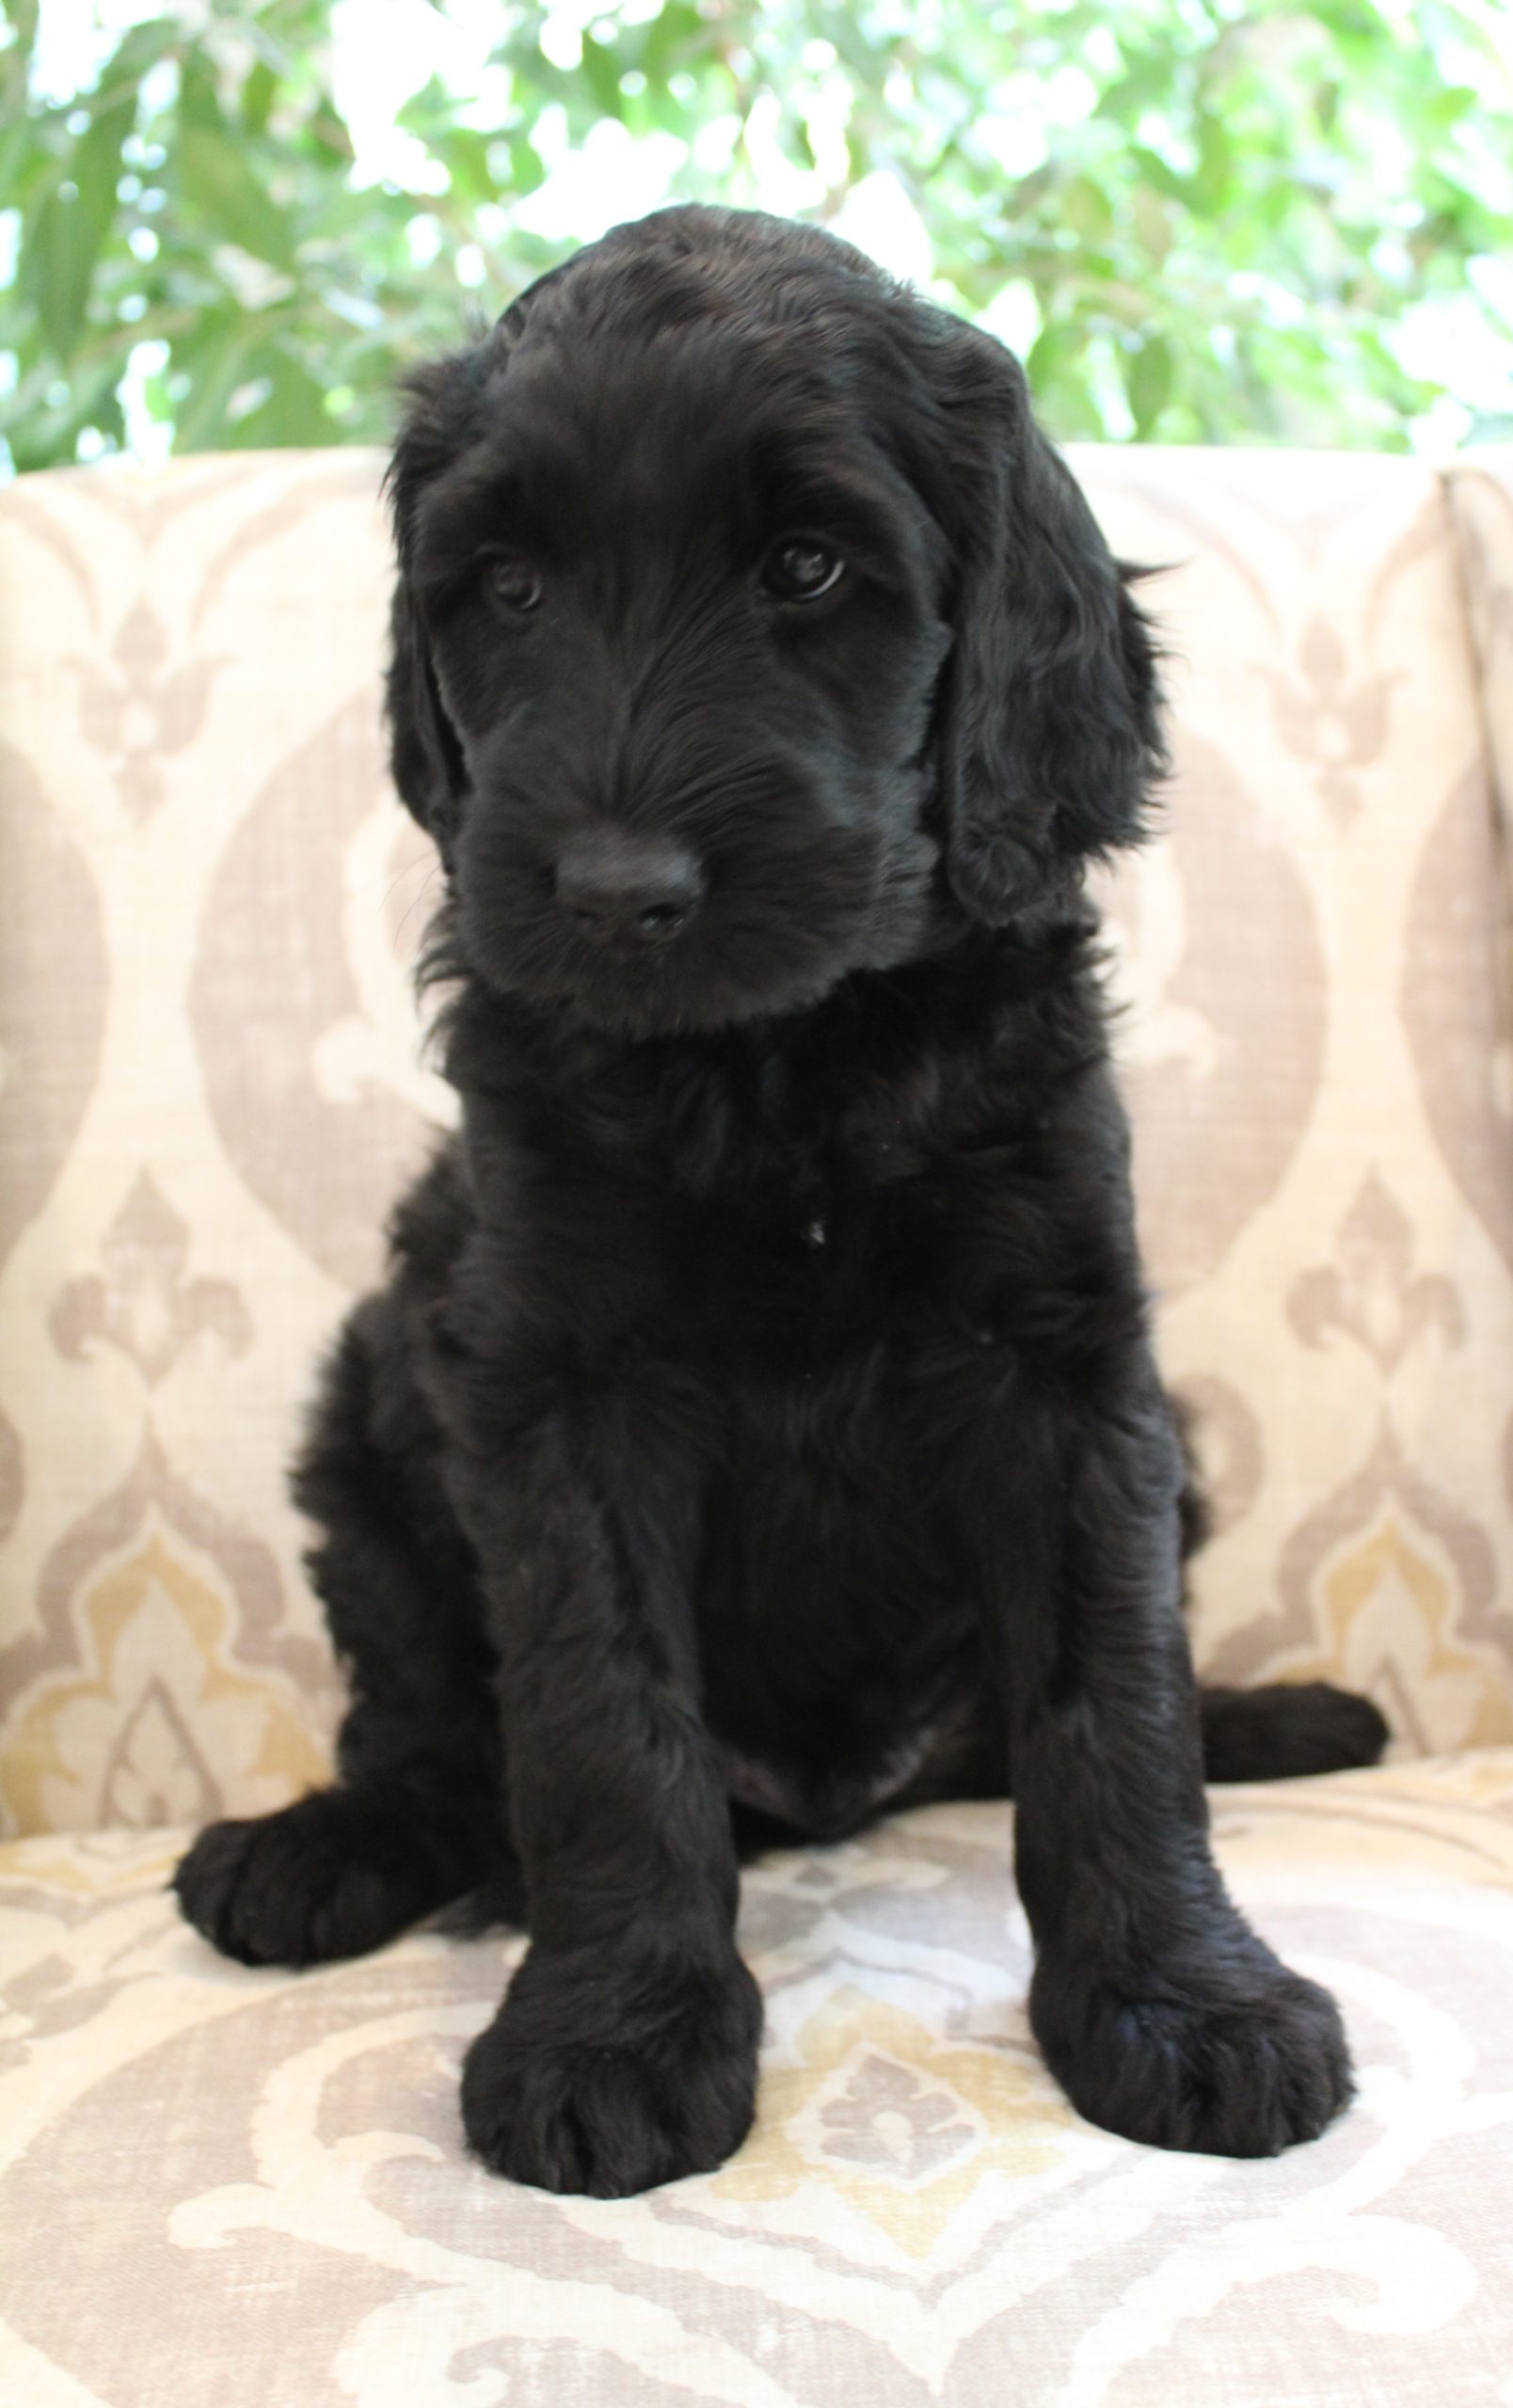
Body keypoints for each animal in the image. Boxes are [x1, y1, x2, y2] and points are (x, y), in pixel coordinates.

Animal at [175, 203, 1388, 2197]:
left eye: (808, 567)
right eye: (507, 591)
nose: (613, 892)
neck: (777, 1077)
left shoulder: (1064, 1368)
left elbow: (1110, 1700)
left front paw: (1180, 2007)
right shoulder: (558, 1387)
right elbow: (600, 1720)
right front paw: (612, 2037)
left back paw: (1282, 1716)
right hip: (363, 1434)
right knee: (429, 1738)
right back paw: (316, 1852)